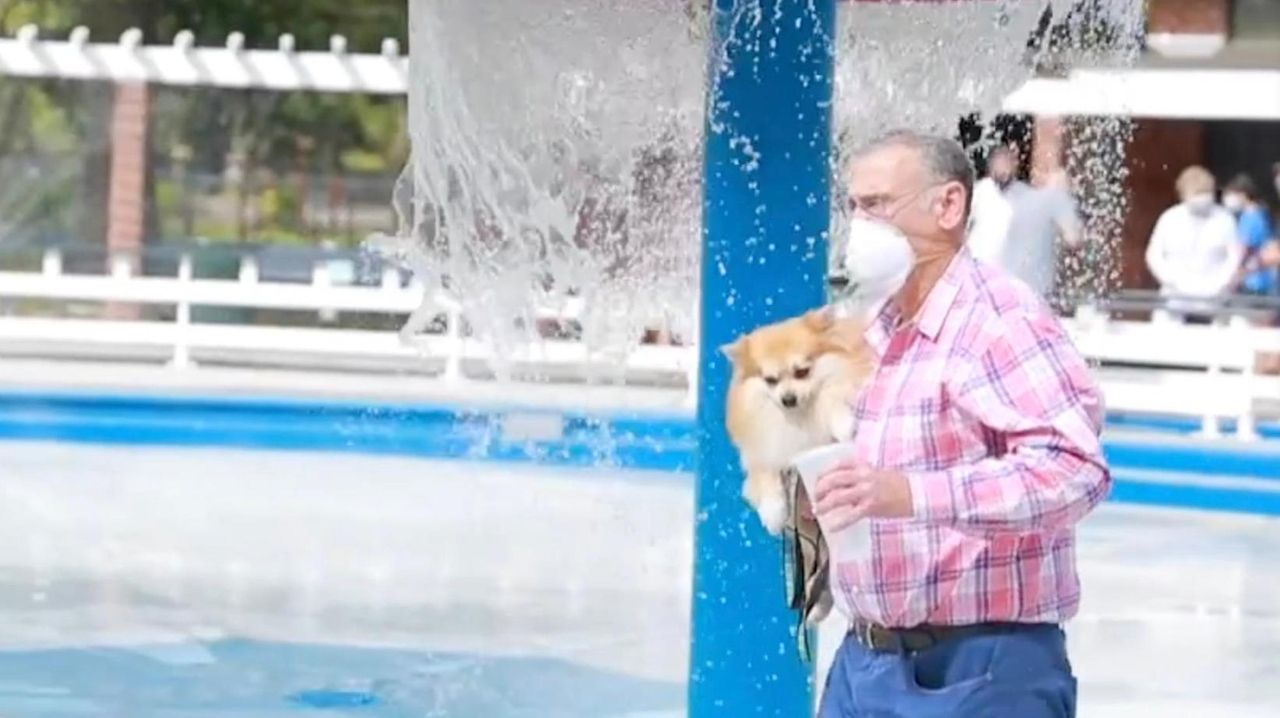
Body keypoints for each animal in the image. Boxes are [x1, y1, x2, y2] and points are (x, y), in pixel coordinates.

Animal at [727, 304, 875, 534]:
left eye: (802, 372)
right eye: (771, 380)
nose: (788, 399)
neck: (800, 417)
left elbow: (831, 398)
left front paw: (842, 423)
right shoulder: (762, 446)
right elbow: (763, 470)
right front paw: (773, 511)